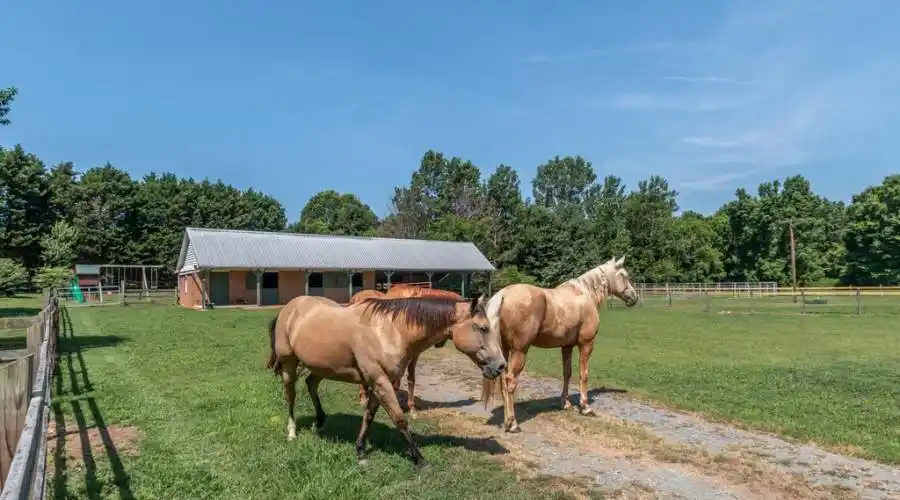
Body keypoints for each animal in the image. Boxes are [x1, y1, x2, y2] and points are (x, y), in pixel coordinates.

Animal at [482, 256, 636, 432]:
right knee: (510, 381)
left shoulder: (566, 346)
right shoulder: (586, 344)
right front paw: (585, 407)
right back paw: (512, 423)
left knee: (502, 382)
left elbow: (567, 373)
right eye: (624, 275)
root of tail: (502, 295)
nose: (634, 297)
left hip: (504, 351)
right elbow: (584, 374)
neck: (585, 294)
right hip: (519, 351)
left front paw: (566, 404)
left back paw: (508, 420)